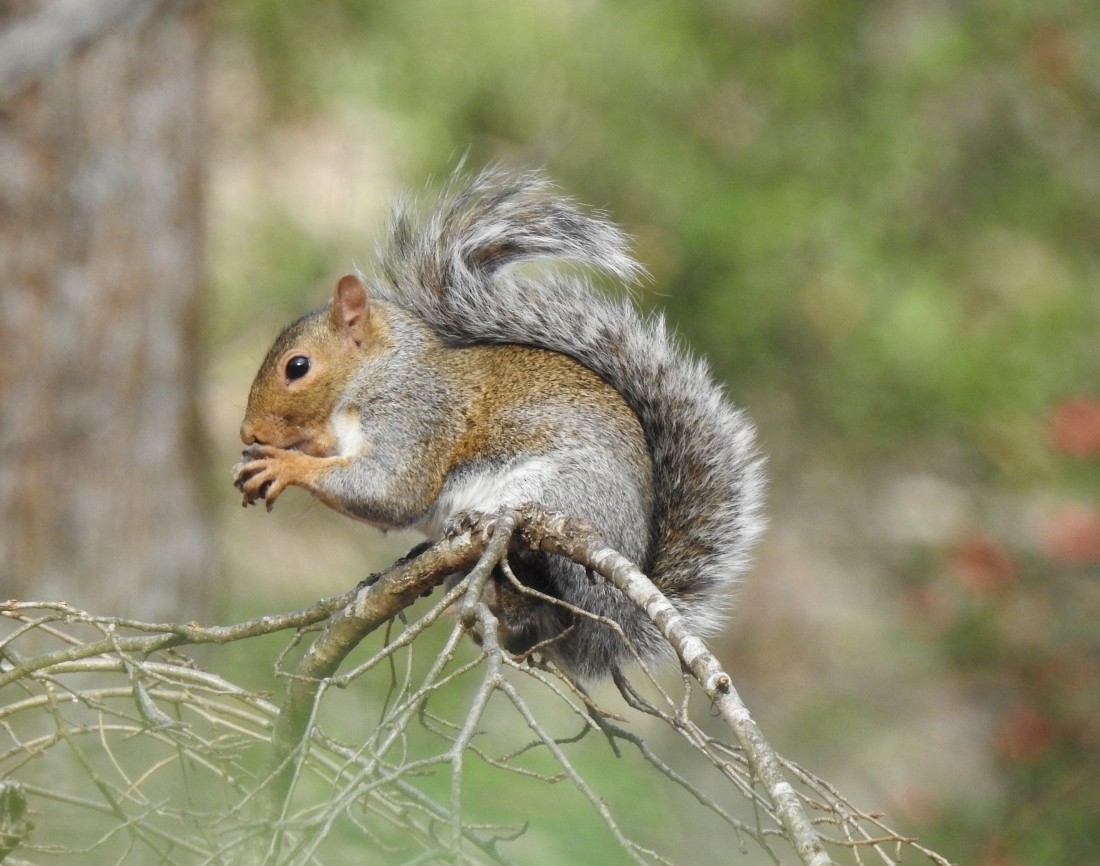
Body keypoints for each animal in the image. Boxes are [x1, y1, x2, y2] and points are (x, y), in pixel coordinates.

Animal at [232, 168, 765, 680]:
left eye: (297, 367)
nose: (248, 434)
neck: (376, 373)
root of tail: (615, 616)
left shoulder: (414, 414)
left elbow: (391, 490)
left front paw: (284, 465)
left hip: (567, 496)